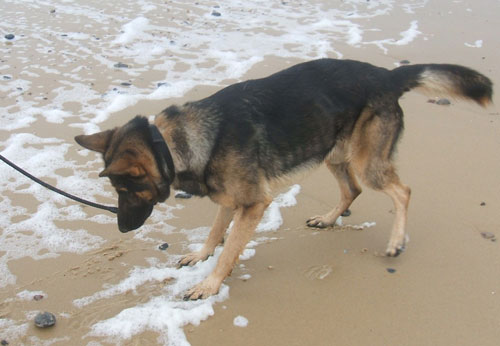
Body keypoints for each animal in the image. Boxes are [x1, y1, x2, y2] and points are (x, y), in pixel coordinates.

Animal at [75, 58, 492, 298]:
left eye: (125, 188)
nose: (122, 230)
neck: (174, 143)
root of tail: (387, 75)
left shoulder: (253, 204)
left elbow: (229, 249)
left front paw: (210, 284)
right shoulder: (231, 201)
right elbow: (215, 232)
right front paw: (201, 255)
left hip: (366, 163)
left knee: (401, 190)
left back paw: (395, 243)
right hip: (333, 153)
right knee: (352, 190)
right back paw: (328, 219)